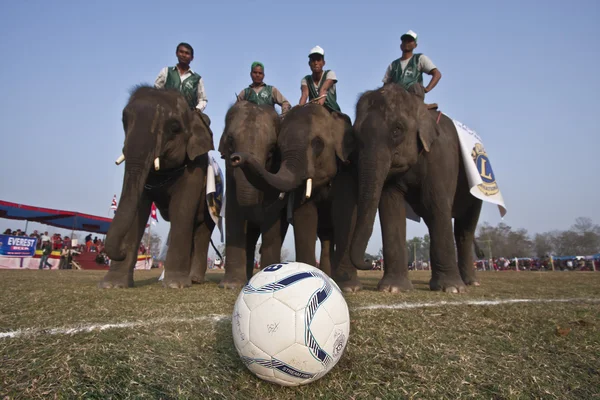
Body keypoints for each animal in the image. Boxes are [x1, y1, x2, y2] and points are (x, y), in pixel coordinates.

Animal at [101, 86, 216, 288]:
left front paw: (175, 285)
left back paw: (194, 279)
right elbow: (138, 209)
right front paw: (113, 285)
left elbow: (181, 209)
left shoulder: (195, 168)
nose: (121, 251)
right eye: (124, 121)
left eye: (174, 128)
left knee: (202, 230)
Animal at [217, 100, 290, 288]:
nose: (237, 158)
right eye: (230, 142)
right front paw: (230, 285)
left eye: (271, 150)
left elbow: (272, 223)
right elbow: (234, 215)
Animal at [229, 103, 354, 276]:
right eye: (279, 149)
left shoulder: (348, 171)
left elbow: (347, 215)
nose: (236, 158)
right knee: (325, 235)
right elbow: (305, 216)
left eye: (317, 143)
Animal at [338, 83, 482, 292]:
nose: (370, 261)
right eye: (355, 135)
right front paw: (393, 289)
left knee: (465, 229)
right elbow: (391, 207)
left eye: (397, 130)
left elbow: (436, 204)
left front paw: (451, 289)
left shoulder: (441, 155)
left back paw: (470, 282)